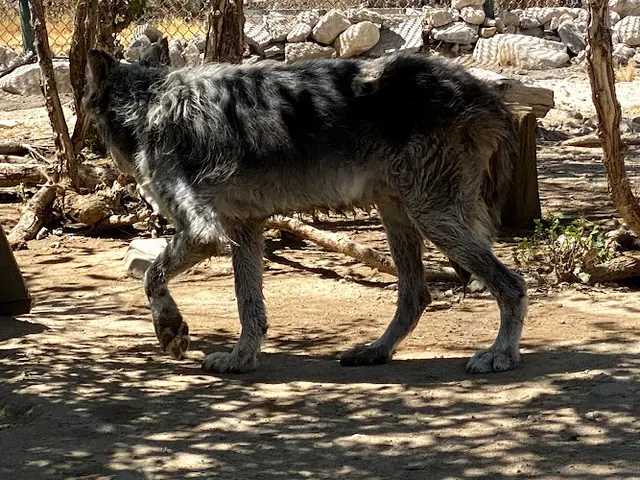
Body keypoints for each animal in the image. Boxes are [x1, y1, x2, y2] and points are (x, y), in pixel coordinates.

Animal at [84, 38, 527, 374]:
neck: (152, 102)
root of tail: (490, 95)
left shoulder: (203, 233)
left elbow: (151, 277)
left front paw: (171, 331)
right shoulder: (244, 227)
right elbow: (249, 306)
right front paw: (241, 358)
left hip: (431, 217)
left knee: (513, 284)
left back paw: (501, 355)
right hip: (398, 214)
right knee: (416, 295)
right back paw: (376, 351)